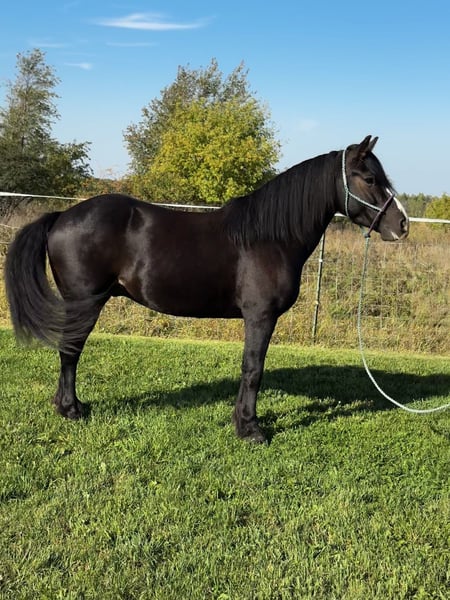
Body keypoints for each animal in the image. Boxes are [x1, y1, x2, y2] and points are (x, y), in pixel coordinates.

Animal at [5, 136, 409, 443]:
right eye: (369, 178)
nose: (402, 224)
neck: (269, 238)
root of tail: (62, 216)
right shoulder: (260, 317)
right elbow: (253, 369)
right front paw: (250, 429)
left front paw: (242, 422)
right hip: (84, 302)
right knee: (70, 351)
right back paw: (71, 409)